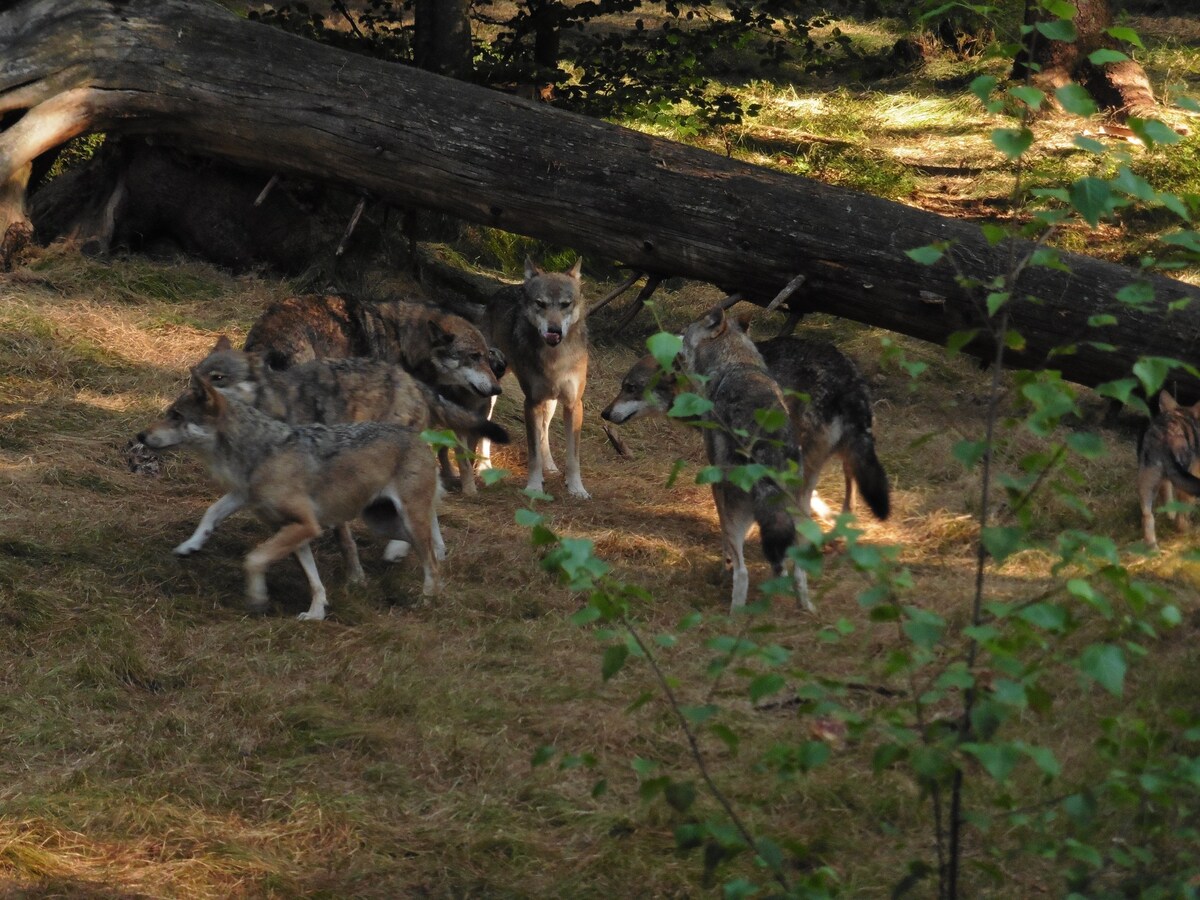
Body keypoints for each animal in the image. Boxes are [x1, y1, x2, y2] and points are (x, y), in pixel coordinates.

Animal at [139, 374, 441, 619]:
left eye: (176, 415)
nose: (140, 435)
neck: (258, 454)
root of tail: (418, 436)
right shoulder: (287, 526)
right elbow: (212, 512)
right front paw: (316, 613)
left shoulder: (306, 525)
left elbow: (253, 559)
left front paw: (258, 598)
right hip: (381, 522)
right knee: (429, 545)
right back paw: (417, 556)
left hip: (404, 520)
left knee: (430, 561)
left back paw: (427, 600)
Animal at [480, 256, 588, 501]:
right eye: (540, 303)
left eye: (565, 304)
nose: (554, 330)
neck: (555, 358)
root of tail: (501, 291)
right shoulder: (531, 403)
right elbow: (533, 454)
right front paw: (534, 487)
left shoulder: (573, 404)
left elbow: (573, 457)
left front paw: (577, 488)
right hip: (493, 395)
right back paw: (483, 467)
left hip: (551, 404)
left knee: (545, 433)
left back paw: (551, 467)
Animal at [681, 307, 811, 619]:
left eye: (685, 331)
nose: (674, 334)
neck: (736, 363)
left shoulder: (716, 485)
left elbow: (726, 544)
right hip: (800, 520)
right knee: (797, 574)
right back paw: (806, 610)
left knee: (743, 573)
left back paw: (733, 614)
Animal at [1132, 391, 1200, 554]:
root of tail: (1163, 436)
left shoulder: (1166, 480)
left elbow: (1168, 500)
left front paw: (1170, 515)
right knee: (1181, 514)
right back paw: (1186, 531)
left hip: (1147, 482)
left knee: (1147, 516)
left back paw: (1153, 549)